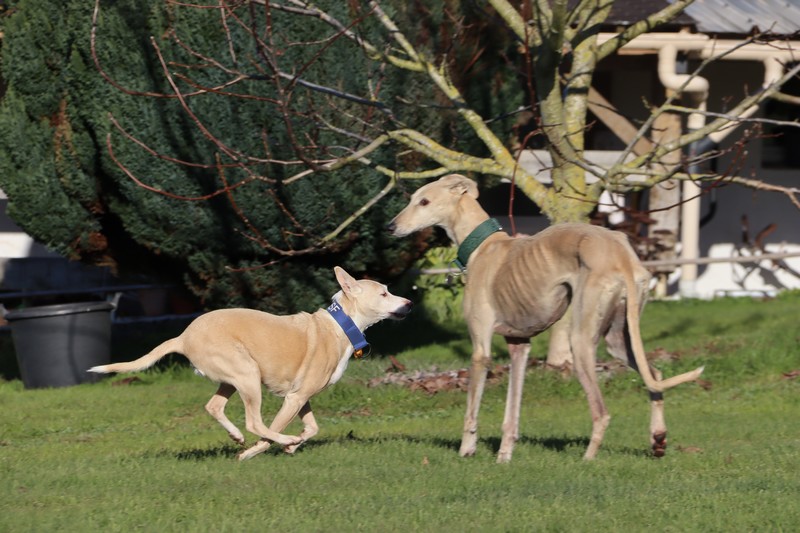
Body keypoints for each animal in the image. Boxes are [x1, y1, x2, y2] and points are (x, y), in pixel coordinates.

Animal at [90, 266, 412, 460]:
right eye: (384, 293)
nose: (409, 304)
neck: (340, 325)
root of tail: (183, 336)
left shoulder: (301, 397)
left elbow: (312, 428)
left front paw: (294, 445)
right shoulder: (294, 398)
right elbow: (276, 430)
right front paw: (267, 448)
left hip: (233, 379)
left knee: (214, 407)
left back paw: (238, 436)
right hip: (247, 374)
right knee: (255, 421)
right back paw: (270, 440)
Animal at [387, 174, 703, 462]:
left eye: (424, 201)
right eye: (413, 198)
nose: (391, 227)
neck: (484, 247)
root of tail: (621, 254)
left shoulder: (481, 351)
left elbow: (471, 409)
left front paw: (467, 449)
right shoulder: (519, 344)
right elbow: (512, 411)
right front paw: (504, 455)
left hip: (581, 339)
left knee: (601, 412)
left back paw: (588, 459)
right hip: (619, 337)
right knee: (656, 376)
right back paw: (658, 439)